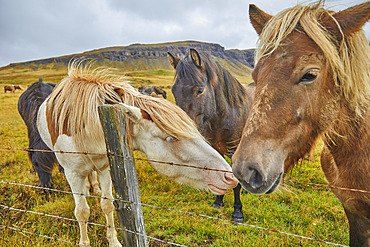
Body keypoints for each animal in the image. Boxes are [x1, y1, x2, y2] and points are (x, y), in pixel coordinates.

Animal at [36, 61, 237, 245]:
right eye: (171, 138)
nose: (229, 176)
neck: (89, 125)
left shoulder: (105, 167)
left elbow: (107, 204)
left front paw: (113, 241)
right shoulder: (72, 173)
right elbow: (82, 212)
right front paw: (84, 242)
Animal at [169, 49, 256, 223]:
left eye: (200, 90)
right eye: (174, 90)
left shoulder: (234, 150)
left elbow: (235, 182)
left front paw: (237, 212)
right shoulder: (216, 148)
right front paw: (218, 201)